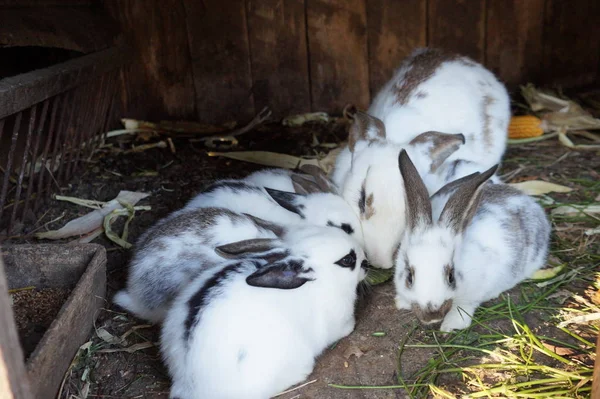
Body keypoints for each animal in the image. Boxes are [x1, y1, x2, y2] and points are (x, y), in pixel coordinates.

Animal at [392, 150, 552, 332]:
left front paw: (451, 325)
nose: (432, 316)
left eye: (451, 277)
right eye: (409, 277)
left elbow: (463, 307)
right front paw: (401, 302)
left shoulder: (473, 294)